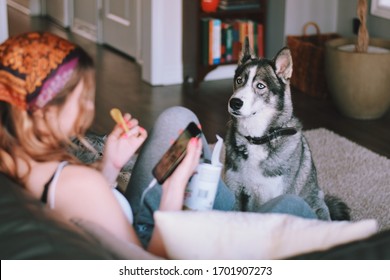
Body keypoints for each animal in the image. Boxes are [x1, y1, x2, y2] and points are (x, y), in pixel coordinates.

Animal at [224, 39, 348, 221]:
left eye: (260, 86)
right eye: (239, 80)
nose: (234, 103)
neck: (257, 139)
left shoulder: (274, 197)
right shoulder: (235, 191)